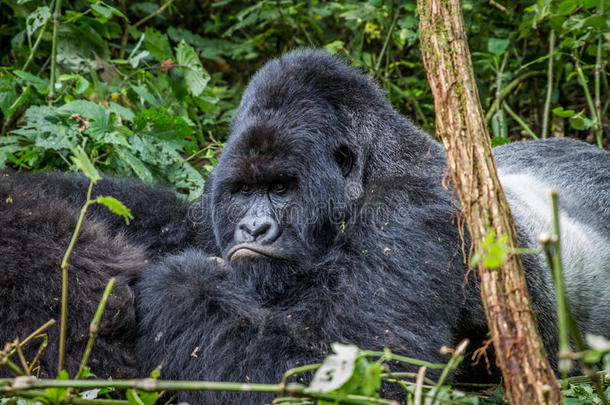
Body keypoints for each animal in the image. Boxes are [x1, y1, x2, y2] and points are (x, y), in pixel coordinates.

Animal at [1, 49, 608, 402]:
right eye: (245, 191)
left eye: (281, 189)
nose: (253, 230)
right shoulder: (207, 206)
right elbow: (146, 215)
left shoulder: (414, 221)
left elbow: (364, 375)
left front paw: (179, 283)